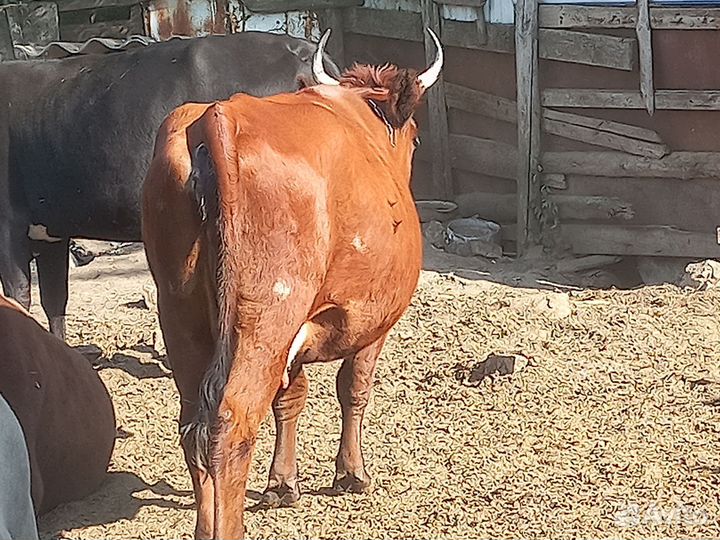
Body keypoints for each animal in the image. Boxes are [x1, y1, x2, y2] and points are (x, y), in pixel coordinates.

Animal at [142, 28, 443, 540]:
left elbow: (291, 398)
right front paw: (352, 473)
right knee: (231, 425)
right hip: (264, 318)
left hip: (181, 314)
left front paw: (282, 482)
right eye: (418, 138)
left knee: (191, 423)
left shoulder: (298, 336)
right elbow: (354, 387)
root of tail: (217, 117)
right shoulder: (374, 319)